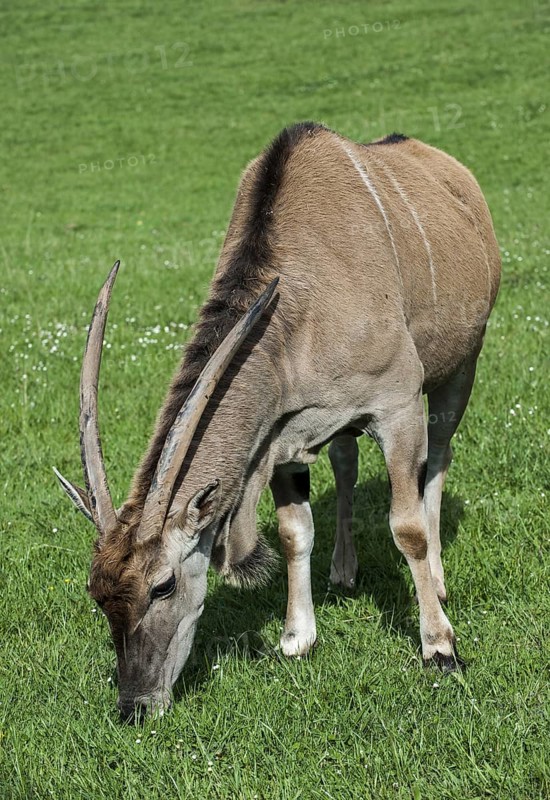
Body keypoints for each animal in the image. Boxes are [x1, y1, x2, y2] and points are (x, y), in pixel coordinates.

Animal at [55, 123, 500, 720]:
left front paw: (440, 647)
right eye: (97, 594)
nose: (136, 706)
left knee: (440, 457)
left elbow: (406, 529)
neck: (304, 295)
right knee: (345, 462)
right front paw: (297, 637)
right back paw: (343, 570)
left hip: (460, 370)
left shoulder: (398, 406)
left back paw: (439, 581)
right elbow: (294, 532)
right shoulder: (286, 434)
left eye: (163, 585)